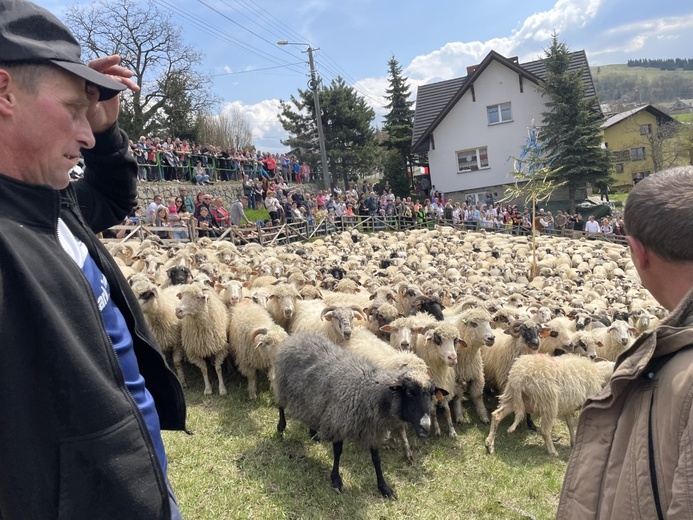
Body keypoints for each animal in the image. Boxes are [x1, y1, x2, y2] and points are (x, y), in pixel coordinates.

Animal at [272, 334, 438, 500]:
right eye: (409, 392)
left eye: (431, 393)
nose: (426, 426)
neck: (368, 391)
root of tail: (298, 336)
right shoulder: (338, 422)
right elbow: (338, 452)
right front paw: (336, 480)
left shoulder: (373, 430)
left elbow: (376, 459)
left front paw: (384, 487)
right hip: (282, 383)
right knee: (280, 406)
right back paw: (281, 428)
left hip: (311, 397)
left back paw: (313, 433)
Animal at [484, 354, 612, 456]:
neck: (599, 374)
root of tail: (519, 377)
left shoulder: (568, 407)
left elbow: (570, 425)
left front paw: (573, 442)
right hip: (548, 403)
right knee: (544, 431)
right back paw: (552, 452)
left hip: (513, 398)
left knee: (496, 415)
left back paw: (489, 444)